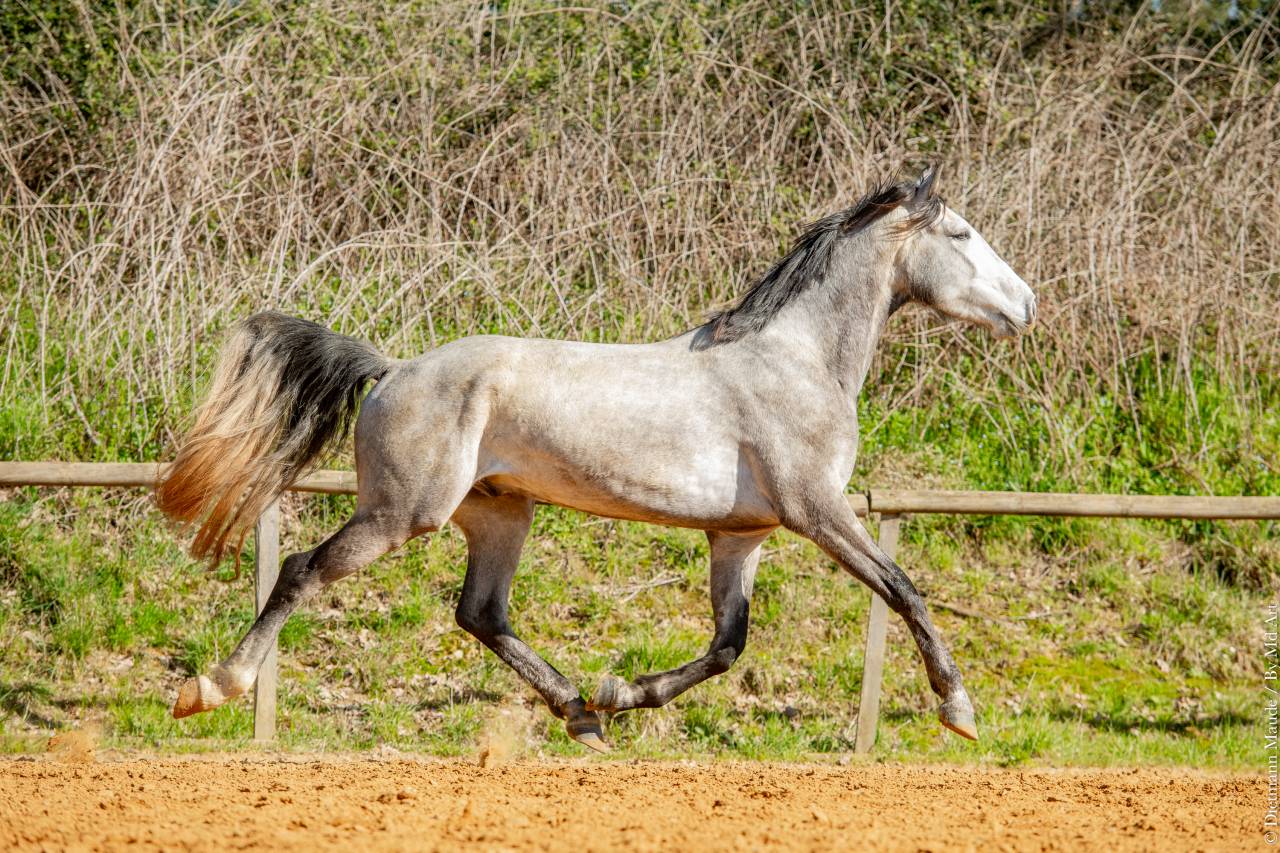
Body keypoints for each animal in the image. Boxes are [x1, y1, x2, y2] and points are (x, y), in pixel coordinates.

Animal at [156, 166, 1036, 752]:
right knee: (302, 570)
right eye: (961, 235)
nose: (1026, 304)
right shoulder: (817, 509)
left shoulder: (741, 534)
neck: (797, 358)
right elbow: (905, 590)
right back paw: (210, 688)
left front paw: (620, 691)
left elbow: (728, 644)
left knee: (481, 612)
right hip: (402, 512)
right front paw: (959, 709)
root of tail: (394, 368)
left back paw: (580, 711)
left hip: (501, 513)